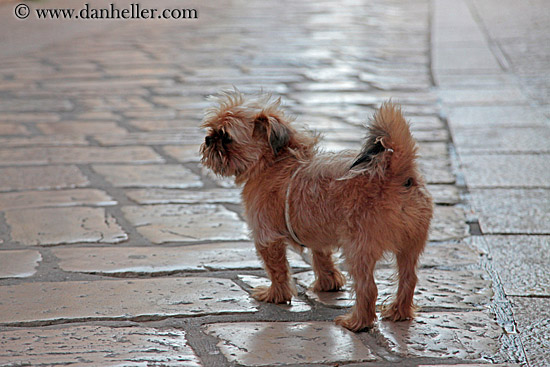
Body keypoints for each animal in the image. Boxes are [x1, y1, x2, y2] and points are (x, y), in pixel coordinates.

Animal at [201, 90, 434, 332]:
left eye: (225, 136)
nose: (209, 139)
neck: (273, 162)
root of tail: (396, 173)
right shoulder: (316, 232)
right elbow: (321, 257)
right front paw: (327, 283)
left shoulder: (266, 236)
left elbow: (277, 269)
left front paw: (275, 295)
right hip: (410, 247)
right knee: (408, 279)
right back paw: (399, 312)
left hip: (359, 249)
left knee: (368, 288)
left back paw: (356, 322)